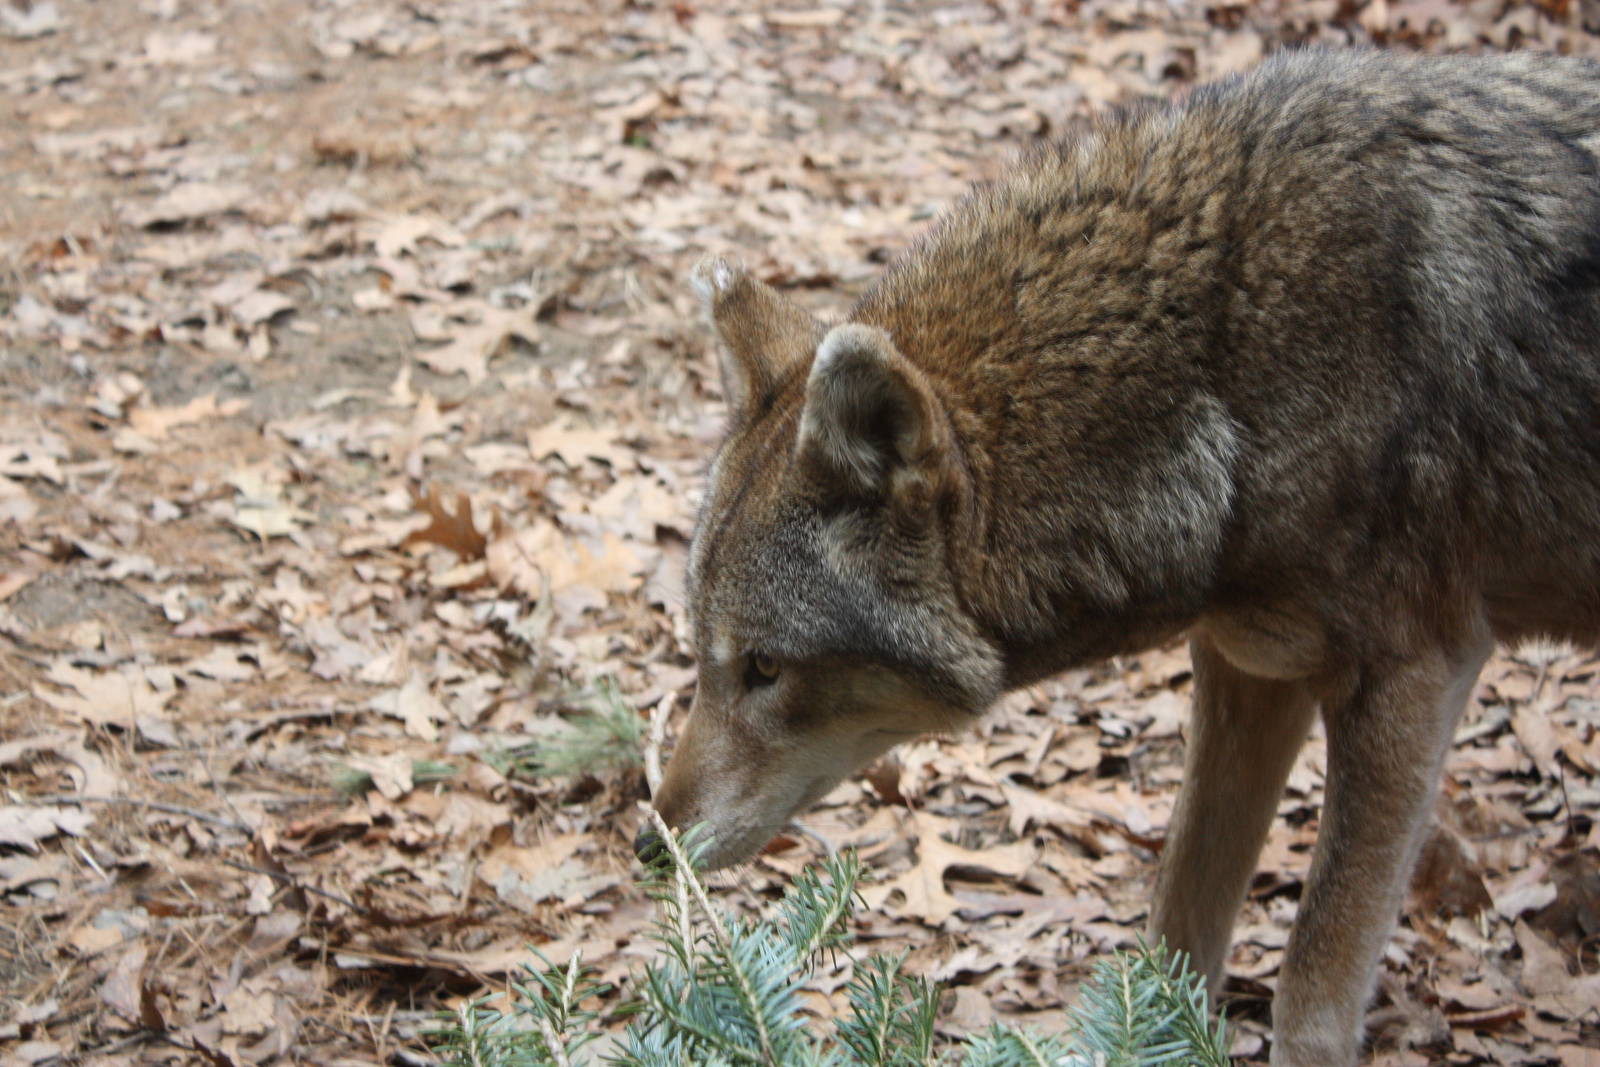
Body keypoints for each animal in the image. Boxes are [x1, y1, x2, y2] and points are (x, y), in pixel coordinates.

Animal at [636, 48, 1600, 1066]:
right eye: (706, 660)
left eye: (765, 668)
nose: (653, 847)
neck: (1225, 366)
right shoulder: (1249, 669)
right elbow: (1173, 933)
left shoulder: (1411, 682)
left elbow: (1309, 996)